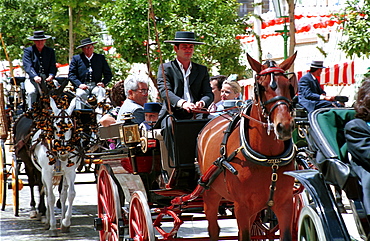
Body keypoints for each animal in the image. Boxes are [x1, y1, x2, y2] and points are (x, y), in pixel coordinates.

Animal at [31, 97, 81, 236]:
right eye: (54, 127)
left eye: (71, 125)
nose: (64, 152)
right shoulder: (47, 173)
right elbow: (51, 198)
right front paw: (52, 227)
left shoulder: (70, 172)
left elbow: (71, 194)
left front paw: (66, 222)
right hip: (43, 174)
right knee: (47, 194)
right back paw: (48, 221)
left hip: (62, 175)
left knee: (63, 194)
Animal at [197, 51, 298, 240]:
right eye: (261, 87)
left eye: (289, 86)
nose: (284, 126)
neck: (268, 158)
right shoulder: (241, 206)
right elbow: (243, 235)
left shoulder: (285, 204)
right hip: (210, 194)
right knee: (213, 228)